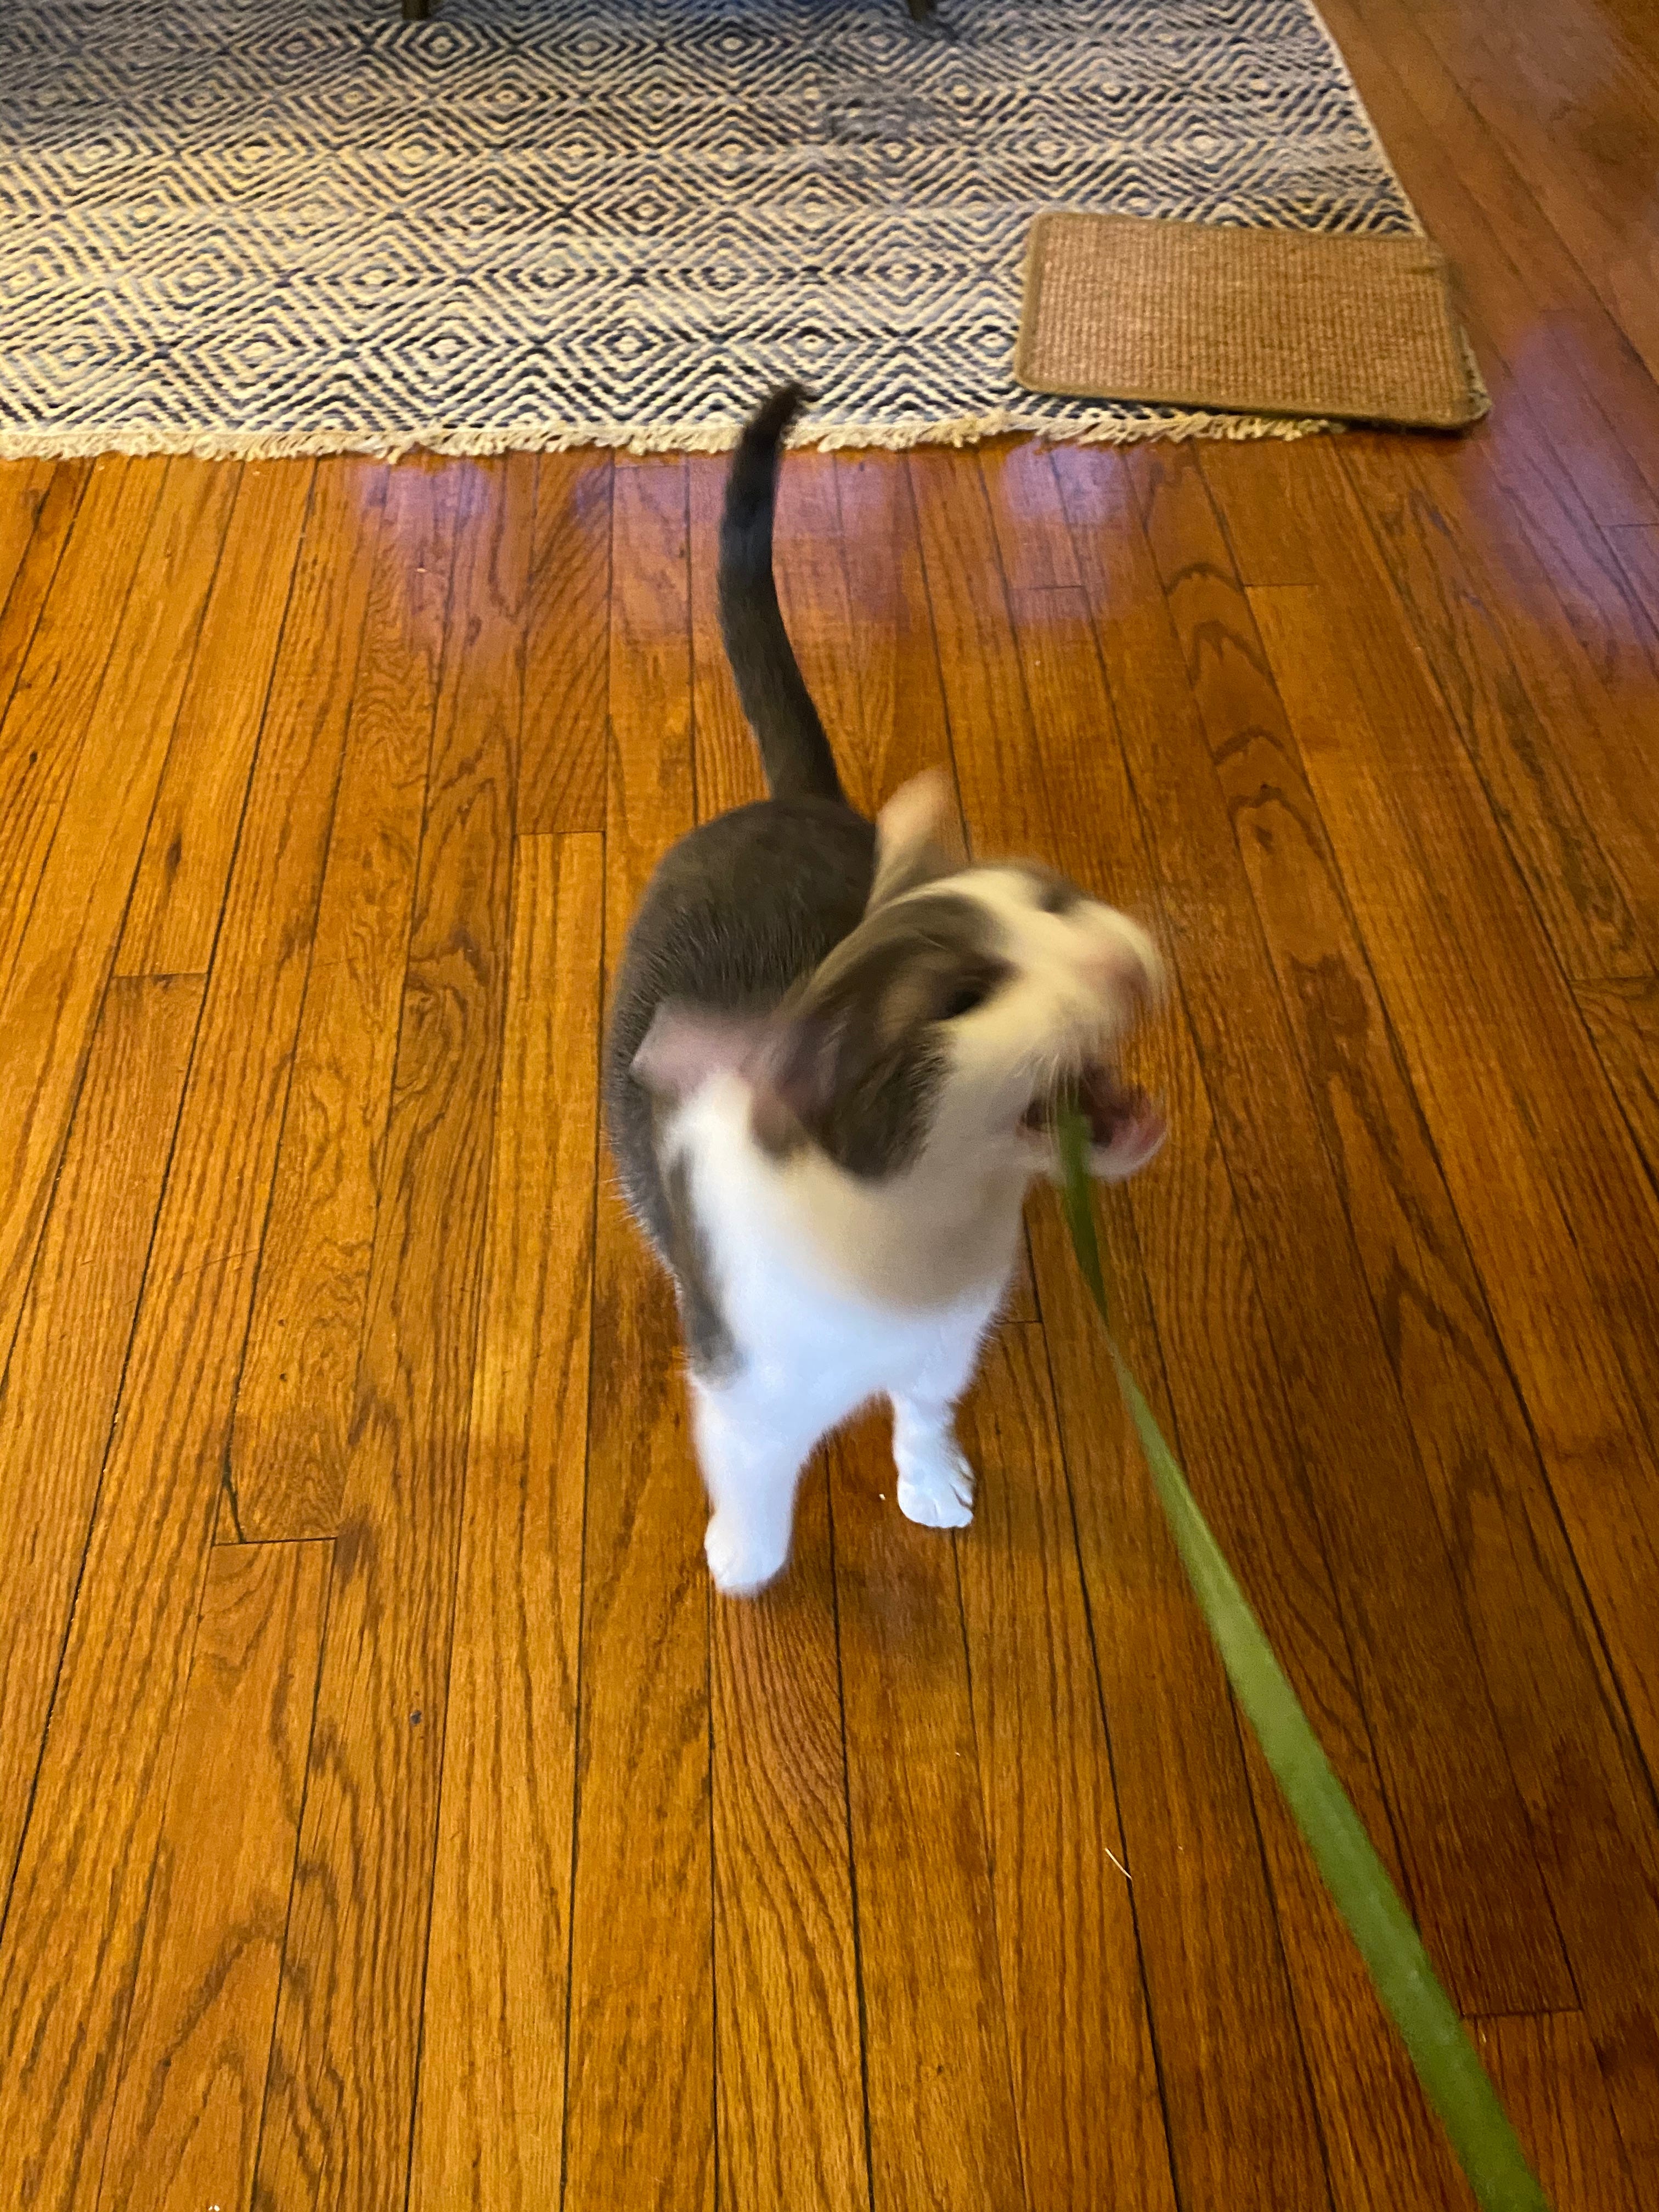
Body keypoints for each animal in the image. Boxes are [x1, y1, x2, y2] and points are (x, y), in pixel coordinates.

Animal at [606, 380, 1159, 1593]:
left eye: (1054, 902)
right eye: (959, 998)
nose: (1118, 960)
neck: (915, 1236)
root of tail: (791, 803)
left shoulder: (946, 1344)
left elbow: (924, 1411)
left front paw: (930, 1473)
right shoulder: (738, 1379)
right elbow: (755, 1477)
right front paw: (749, 1558)